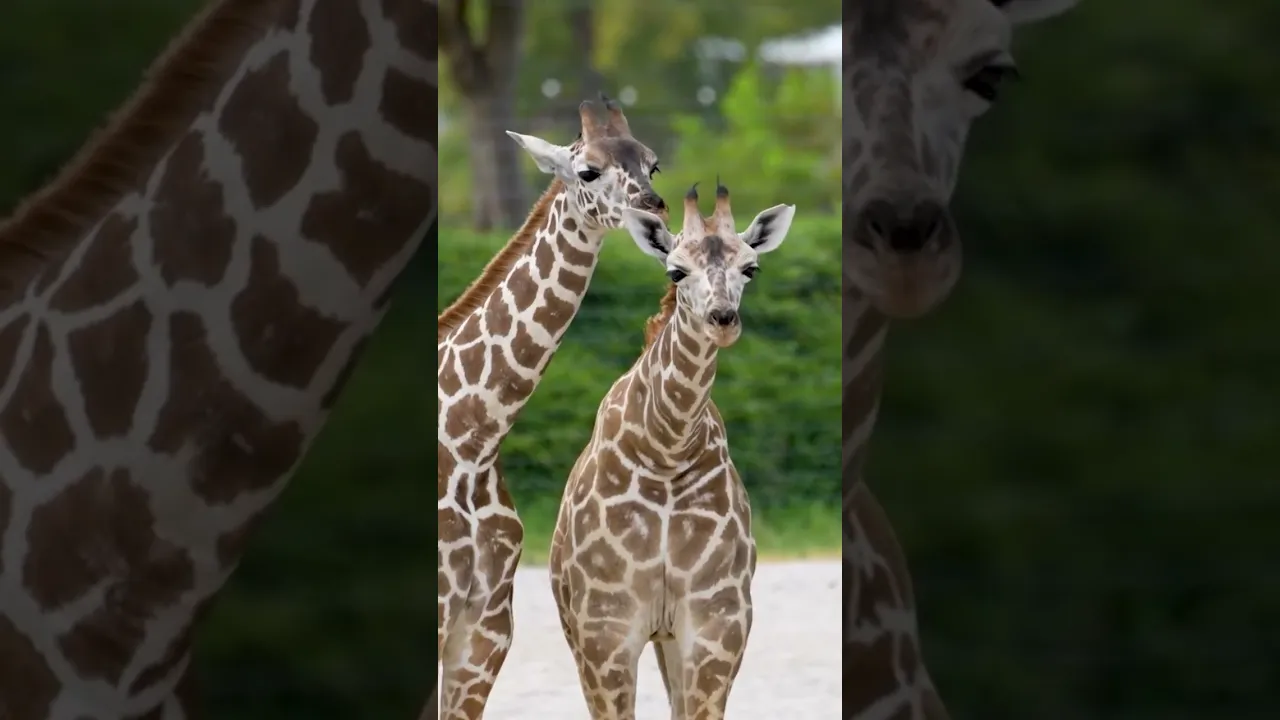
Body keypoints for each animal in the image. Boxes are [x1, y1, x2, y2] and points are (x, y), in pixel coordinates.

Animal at [548, 181, 796, 720]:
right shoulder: (604, 628)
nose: (722, 319)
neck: (667, 447)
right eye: (675, 271)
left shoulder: (717, 623)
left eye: (751, 268)